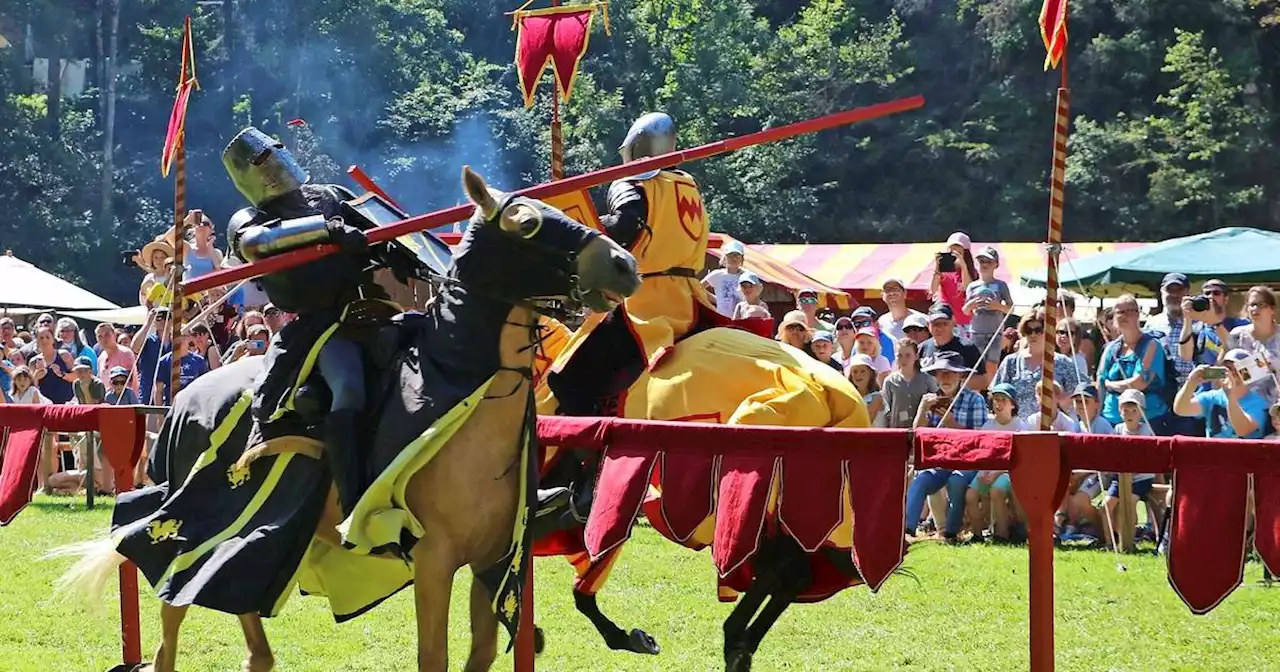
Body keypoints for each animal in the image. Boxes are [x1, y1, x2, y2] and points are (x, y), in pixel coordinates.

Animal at [55, 167, 640, 670]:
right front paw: (344, 236)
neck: (460, 384)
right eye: (526, 221)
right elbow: (434, 656)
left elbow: (482, 652)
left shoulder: (492, 560)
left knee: (240, 602)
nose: (623, 265)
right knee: (172, 596)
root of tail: (180, 401)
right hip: (199, 509)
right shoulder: (435, 560)